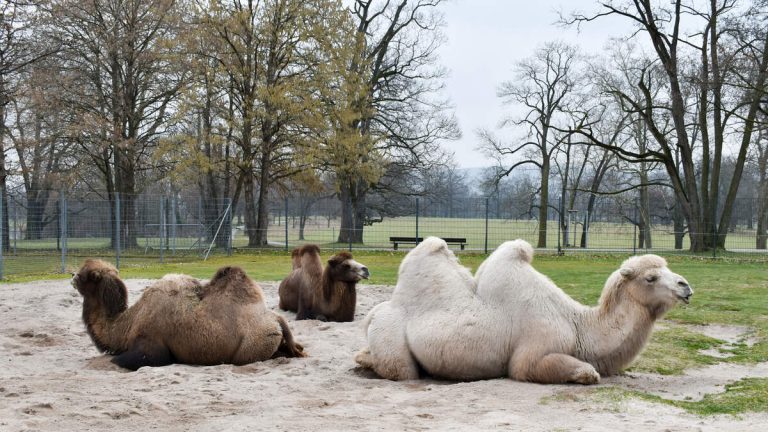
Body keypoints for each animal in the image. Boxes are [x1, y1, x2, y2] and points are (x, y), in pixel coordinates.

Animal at [73, 258, 306, 370]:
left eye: (85, 275)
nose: (72, 275)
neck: (128, 323)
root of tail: (276, 319)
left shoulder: (151, 344)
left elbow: (118, 361)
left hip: (252, 347)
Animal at [356, 238, 692, 384]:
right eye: (650, 278)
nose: (686, 286)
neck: (578, 326)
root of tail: (375, 312)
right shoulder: (532, 354)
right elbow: (586, 371)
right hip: (392, 339)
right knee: (400, 369)